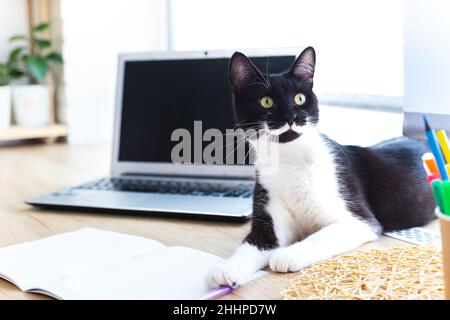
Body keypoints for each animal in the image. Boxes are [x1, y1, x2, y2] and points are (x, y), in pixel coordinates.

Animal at [209, 46, 438, 288]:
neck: (290, 160)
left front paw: (287, 254)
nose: (291, 117)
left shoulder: (358, 219)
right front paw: (227, 268)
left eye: (300, 98)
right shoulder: (267, 204)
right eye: (266, 101)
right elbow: (255, 244)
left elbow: (320, 236)